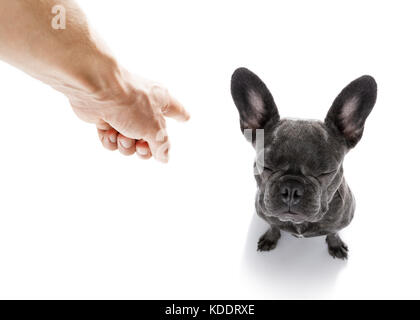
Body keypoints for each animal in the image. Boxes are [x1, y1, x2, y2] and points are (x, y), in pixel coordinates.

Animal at [230, 66, 378, 258]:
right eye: (266, 166)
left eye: (326, 172)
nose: (291, 189)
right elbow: (273, 225)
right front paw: (270, 237)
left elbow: (333, 232)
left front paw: (335, 244)